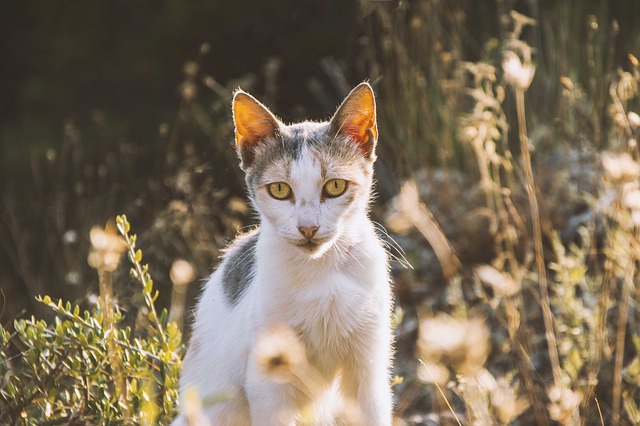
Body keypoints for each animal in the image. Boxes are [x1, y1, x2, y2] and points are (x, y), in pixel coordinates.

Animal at [174, 81, 396, 424]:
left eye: (335, 186)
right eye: (279, 190)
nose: (308, 228)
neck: (320, 272)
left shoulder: (369, 370)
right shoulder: (268, 381)